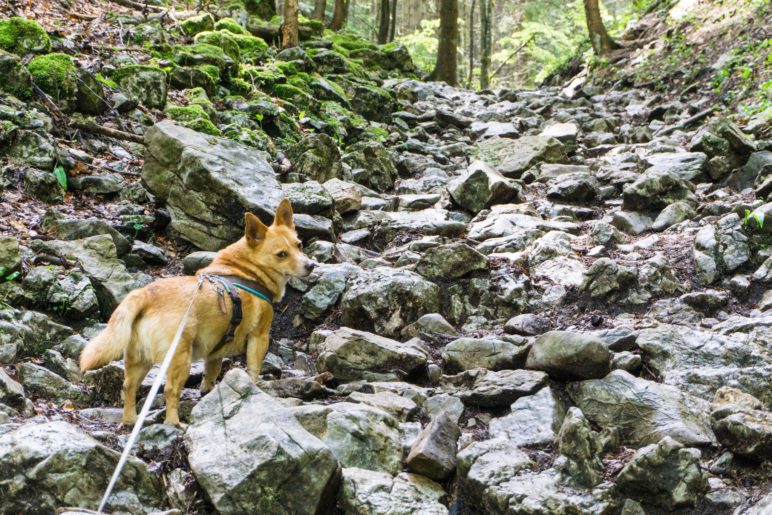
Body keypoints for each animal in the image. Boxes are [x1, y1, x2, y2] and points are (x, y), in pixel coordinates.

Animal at [78, 200, 314, 430]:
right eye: (281, 254)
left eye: (299, 245)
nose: (311, 265)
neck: (247, 271)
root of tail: (146, 294)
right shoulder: (259, 337)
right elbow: (254, 370)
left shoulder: (215, 352)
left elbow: (211, 374)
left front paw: (207, 394)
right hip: (180, 359)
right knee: (171, 390)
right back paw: (174, 423)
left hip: (139, 359)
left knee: (128, 386)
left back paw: (130, 420)